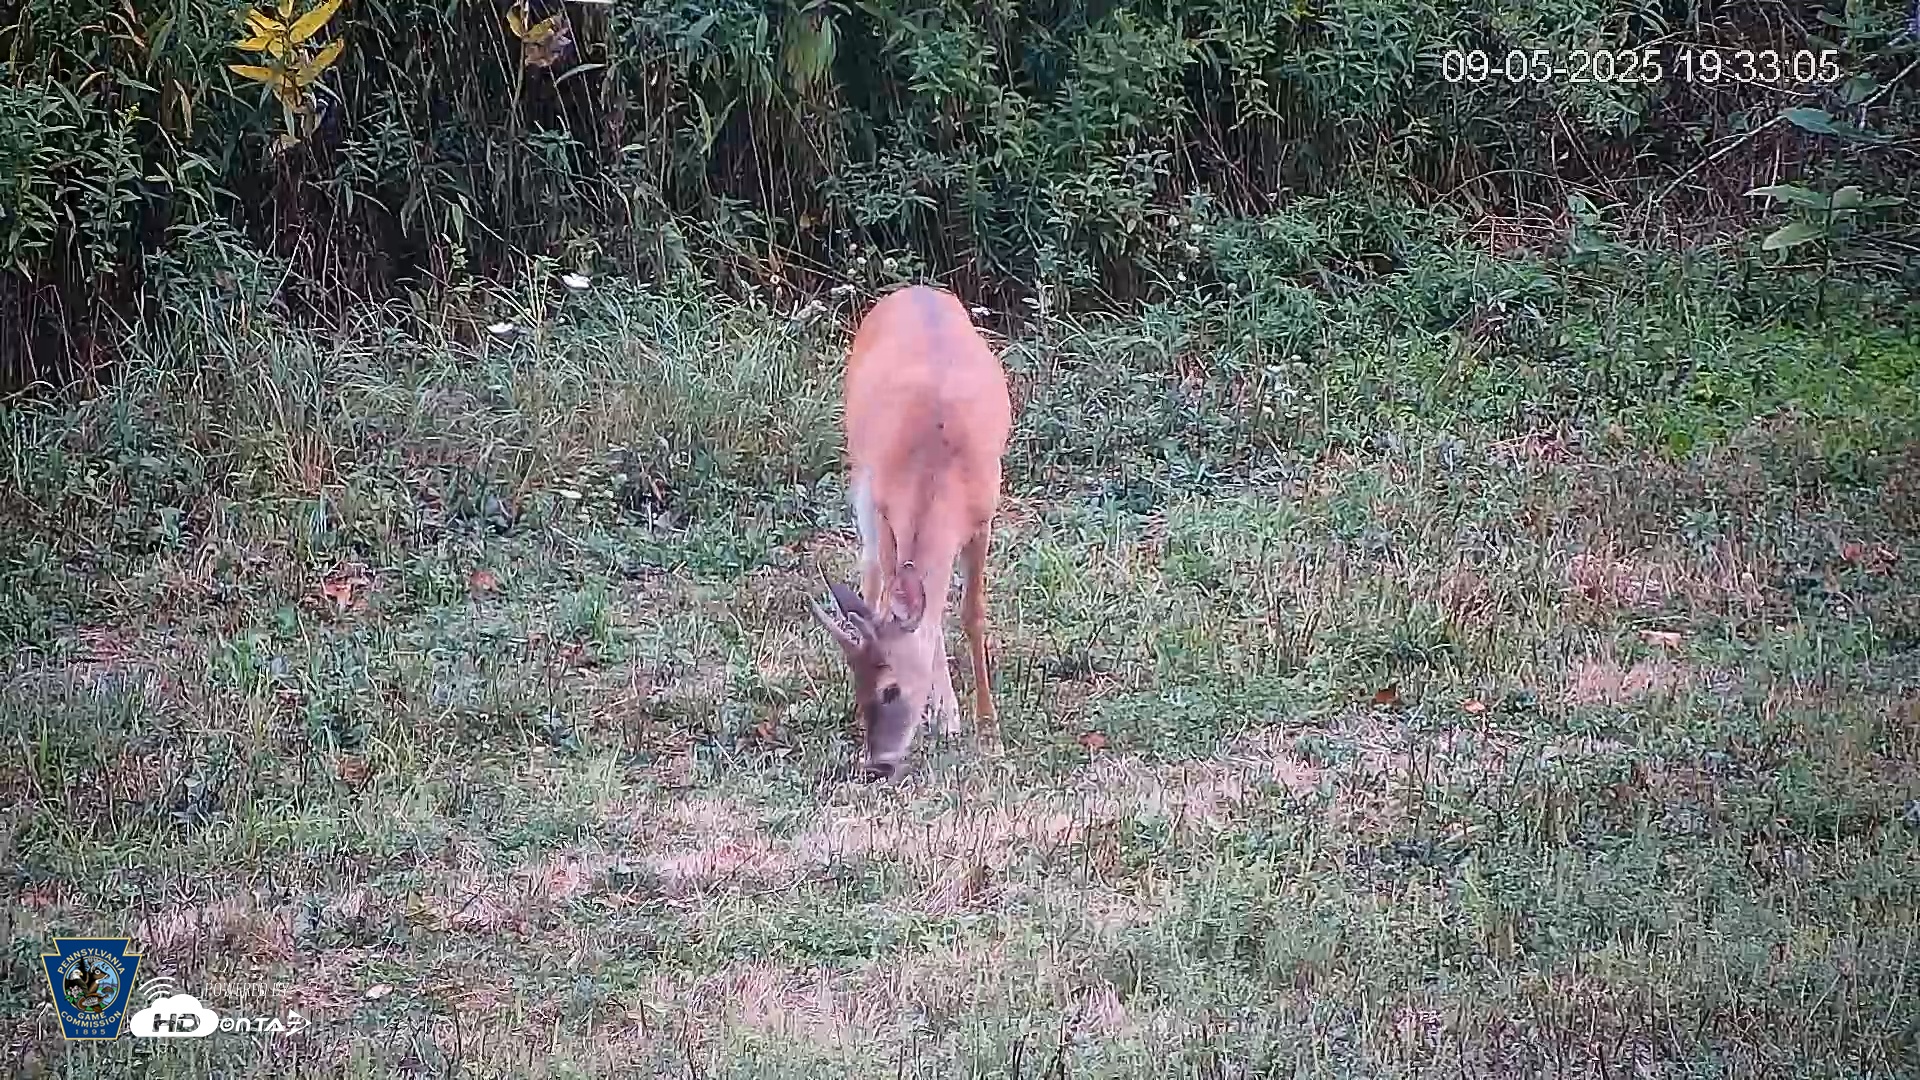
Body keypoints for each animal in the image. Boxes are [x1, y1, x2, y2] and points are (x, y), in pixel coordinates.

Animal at [809, 284, 1013, 780]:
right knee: (871, 569)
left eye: (890, 688)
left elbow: (970, 614)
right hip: (859, 467)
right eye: (859, 685)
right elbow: (895, 595)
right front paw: (948, 714)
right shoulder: (887, 509)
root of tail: (914, 289)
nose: (878, 764)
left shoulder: (983, 515)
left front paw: (988, 729)